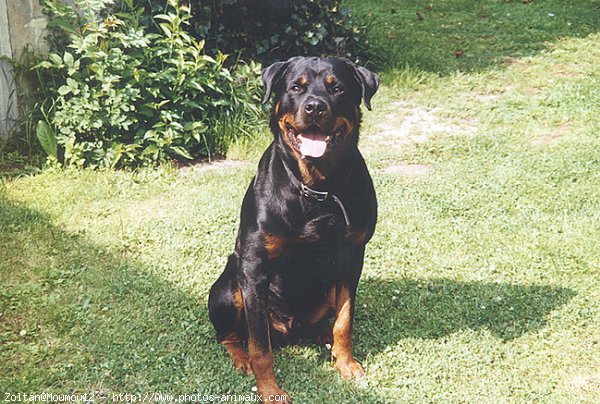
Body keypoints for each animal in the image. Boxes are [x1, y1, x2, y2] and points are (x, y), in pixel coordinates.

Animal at [210, 56, 380, 400]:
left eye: (337, 88)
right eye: (296, 88)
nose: (314, 107)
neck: (316, 186)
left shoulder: (352, 255)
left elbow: (344, 320)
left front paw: (346, 363)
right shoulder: (254, 267)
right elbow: (260, 346)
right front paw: (270, 390)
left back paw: (323, 339)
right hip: (228, 290)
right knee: (231, 335)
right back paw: (241, 358)